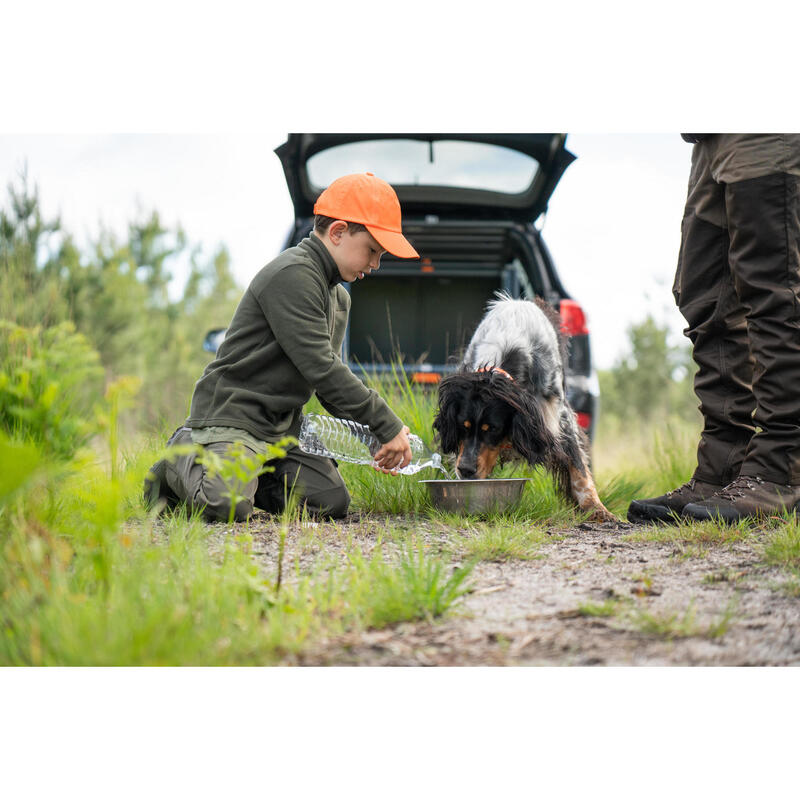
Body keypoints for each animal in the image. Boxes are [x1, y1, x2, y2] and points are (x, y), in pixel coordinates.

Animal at [434, 294, 616, 524]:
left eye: (492, 429)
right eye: (462, 425)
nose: (465, 470)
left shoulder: (559, 417)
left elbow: (578, 467)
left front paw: (595, 507)